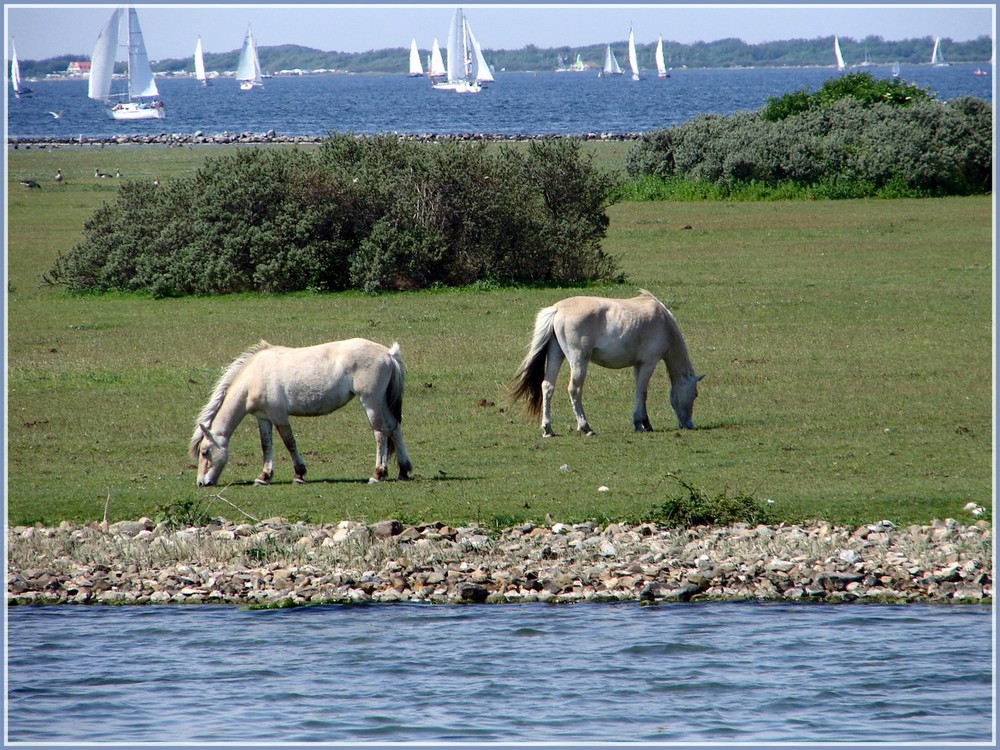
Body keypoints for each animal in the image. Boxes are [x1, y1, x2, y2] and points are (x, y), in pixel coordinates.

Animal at [189, 340, 412, 488]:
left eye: (205, 452)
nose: (201, 483)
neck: (254, 376)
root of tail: (388, 354)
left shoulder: (279, 416)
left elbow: (289, 442)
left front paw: (299, 474)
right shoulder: (263, 418)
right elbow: (266, 445)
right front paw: (263, 476)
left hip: (371, 402)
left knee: (380, 432)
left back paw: (377, 474)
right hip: (381, 403)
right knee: (393, 428)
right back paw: (403, 470)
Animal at [508, 290, 704, 438]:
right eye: (695, 394)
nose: (689, 424)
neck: (663, 321)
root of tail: (557, 308)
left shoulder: (638, 365)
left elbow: (638, 391)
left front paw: (639, 423)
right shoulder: (649, 362)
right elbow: (643, 391)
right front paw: (644, 423)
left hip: (557, 355)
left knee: (548, 387)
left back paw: (548, 429)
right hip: (579, 360)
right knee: (574, 389)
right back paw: (586, 427)